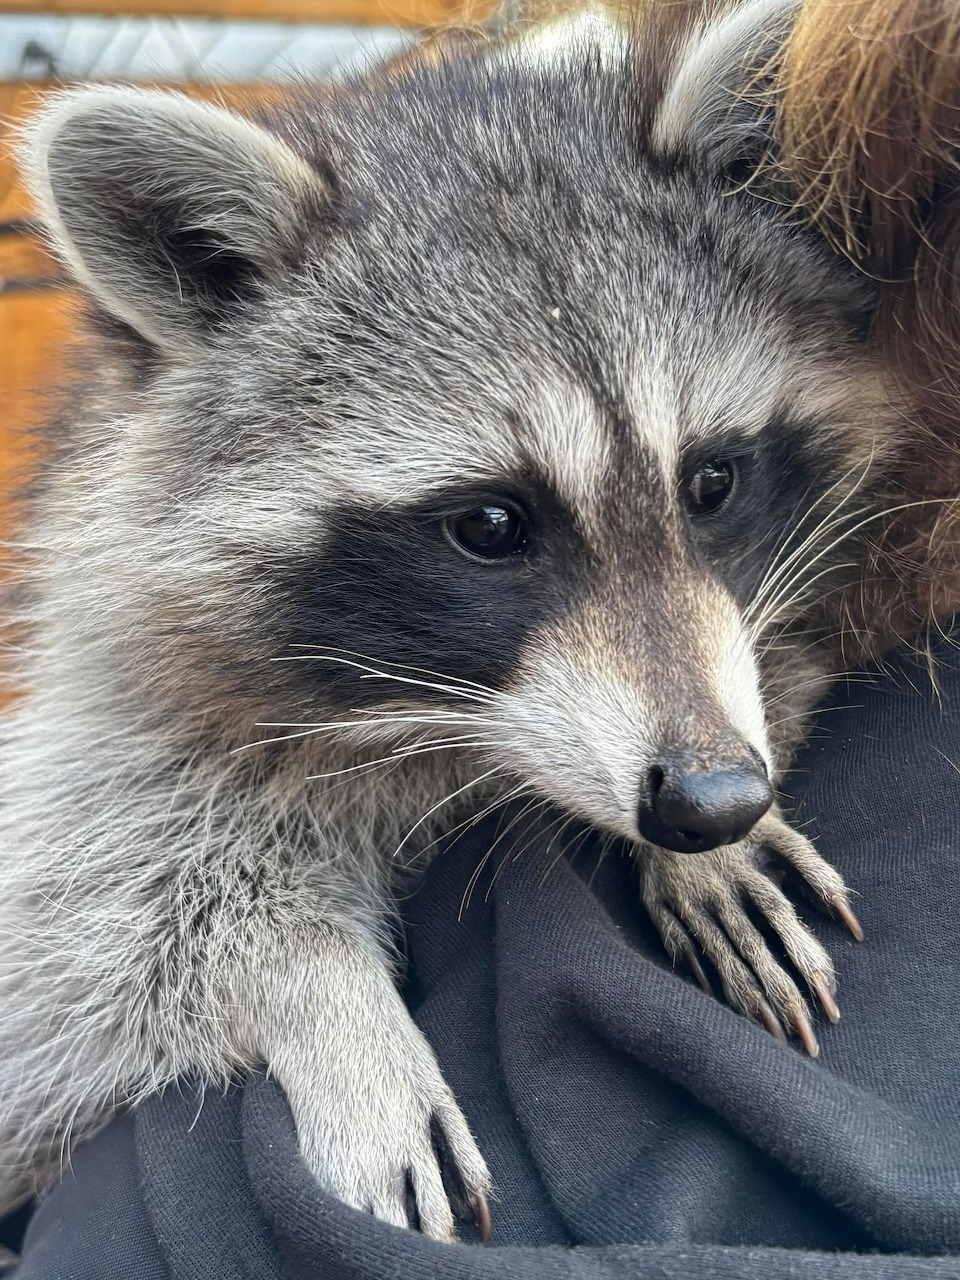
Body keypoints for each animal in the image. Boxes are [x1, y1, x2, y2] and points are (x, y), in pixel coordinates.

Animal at [0, 1, 915, 1241]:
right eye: (489, 524)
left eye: (712, 482)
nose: (716, 795)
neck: (435, 719)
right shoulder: (115, 698)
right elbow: (91, 923)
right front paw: (320, 990)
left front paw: (722, 797)